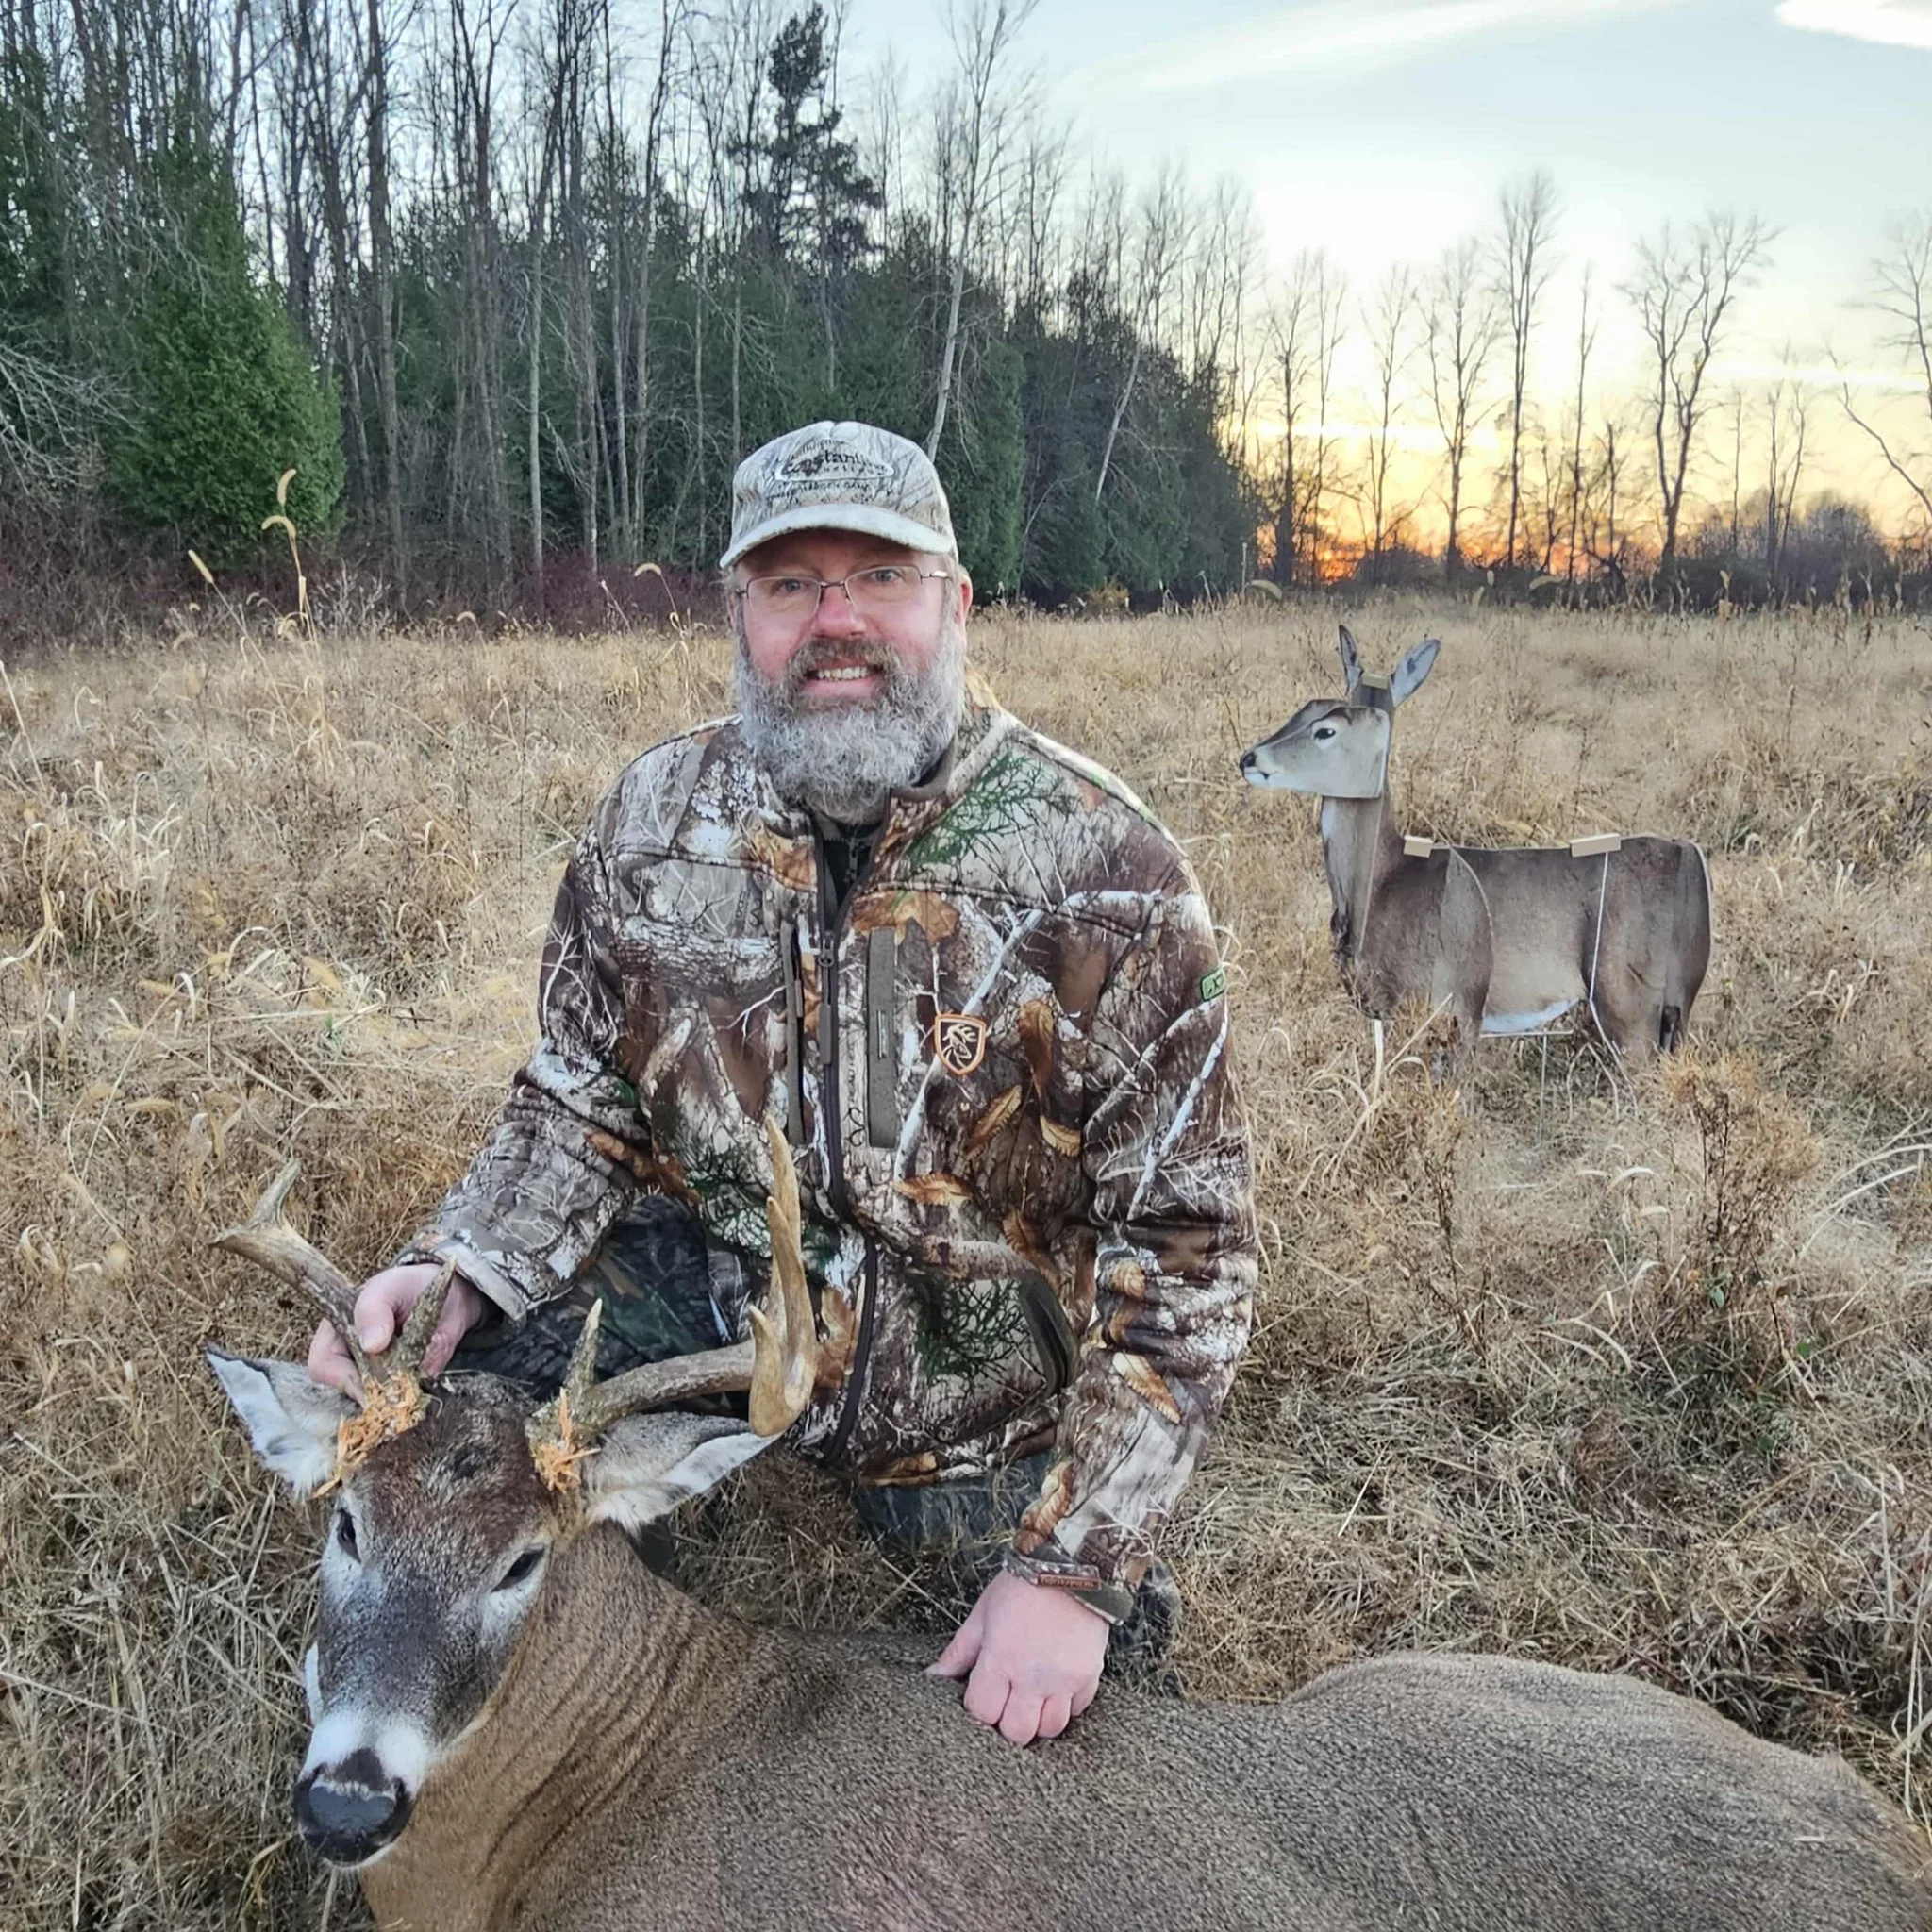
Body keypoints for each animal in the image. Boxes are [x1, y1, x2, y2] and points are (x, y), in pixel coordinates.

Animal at [1241, 626, 1713, 1063]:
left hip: (1627, 1000)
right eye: (1304, 710)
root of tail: (1687, 854)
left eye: (1326, 729)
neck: (1382, 879)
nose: (1249, 758)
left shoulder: (1452, 1002)